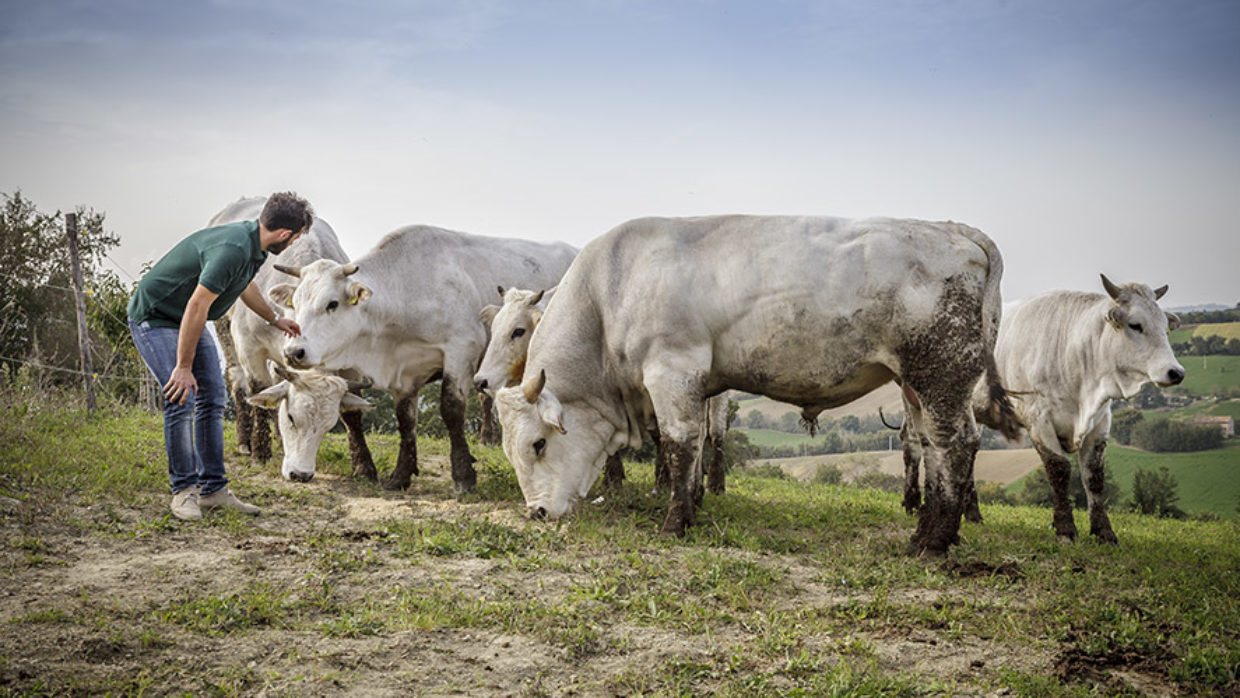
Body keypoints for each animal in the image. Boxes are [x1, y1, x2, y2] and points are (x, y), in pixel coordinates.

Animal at [208, 195, 376, 481]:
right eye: (291, 417)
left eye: (328, 426)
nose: (301, 474)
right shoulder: (250, 347)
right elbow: (259, 393)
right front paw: (260, 452)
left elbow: (353, 414)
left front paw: (364, 465)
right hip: (225, 331)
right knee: (237, 383)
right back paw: (245, 442)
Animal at [276, 226, 575, 493]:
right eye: (295, 303)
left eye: (332, 304)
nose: (293, 352)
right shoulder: (404, 373)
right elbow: (406, 421)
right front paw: (400, 476)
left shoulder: (460, 351)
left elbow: (452, 410)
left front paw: (463, 477)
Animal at [491, 215, 1016, 555]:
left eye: (538, 444)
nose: (536, 513)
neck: (610, 292)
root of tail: (955, 230)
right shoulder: (699, 385)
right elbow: (697, 449)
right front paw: (694, 504)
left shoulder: (672, 370)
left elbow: (680, 444)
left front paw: (675, 523)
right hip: (915, 387)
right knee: (931, 445)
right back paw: (933, 531)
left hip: (939, 376)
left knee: (953, 444)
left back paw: (933, 541)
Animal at [902, 276, 1180, 543]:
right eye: (1136, 325)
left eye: (1165, 327)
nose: (1176, 372)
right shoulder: (1038, 419)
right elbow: (1059, 469)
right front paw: (1065, 529)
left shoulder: (1100, 421)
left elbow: (1094, 477)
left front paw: (1104, 532)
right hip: (914, 399)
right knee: (915, 443)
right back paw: (913, 504)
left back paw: (971, 513)